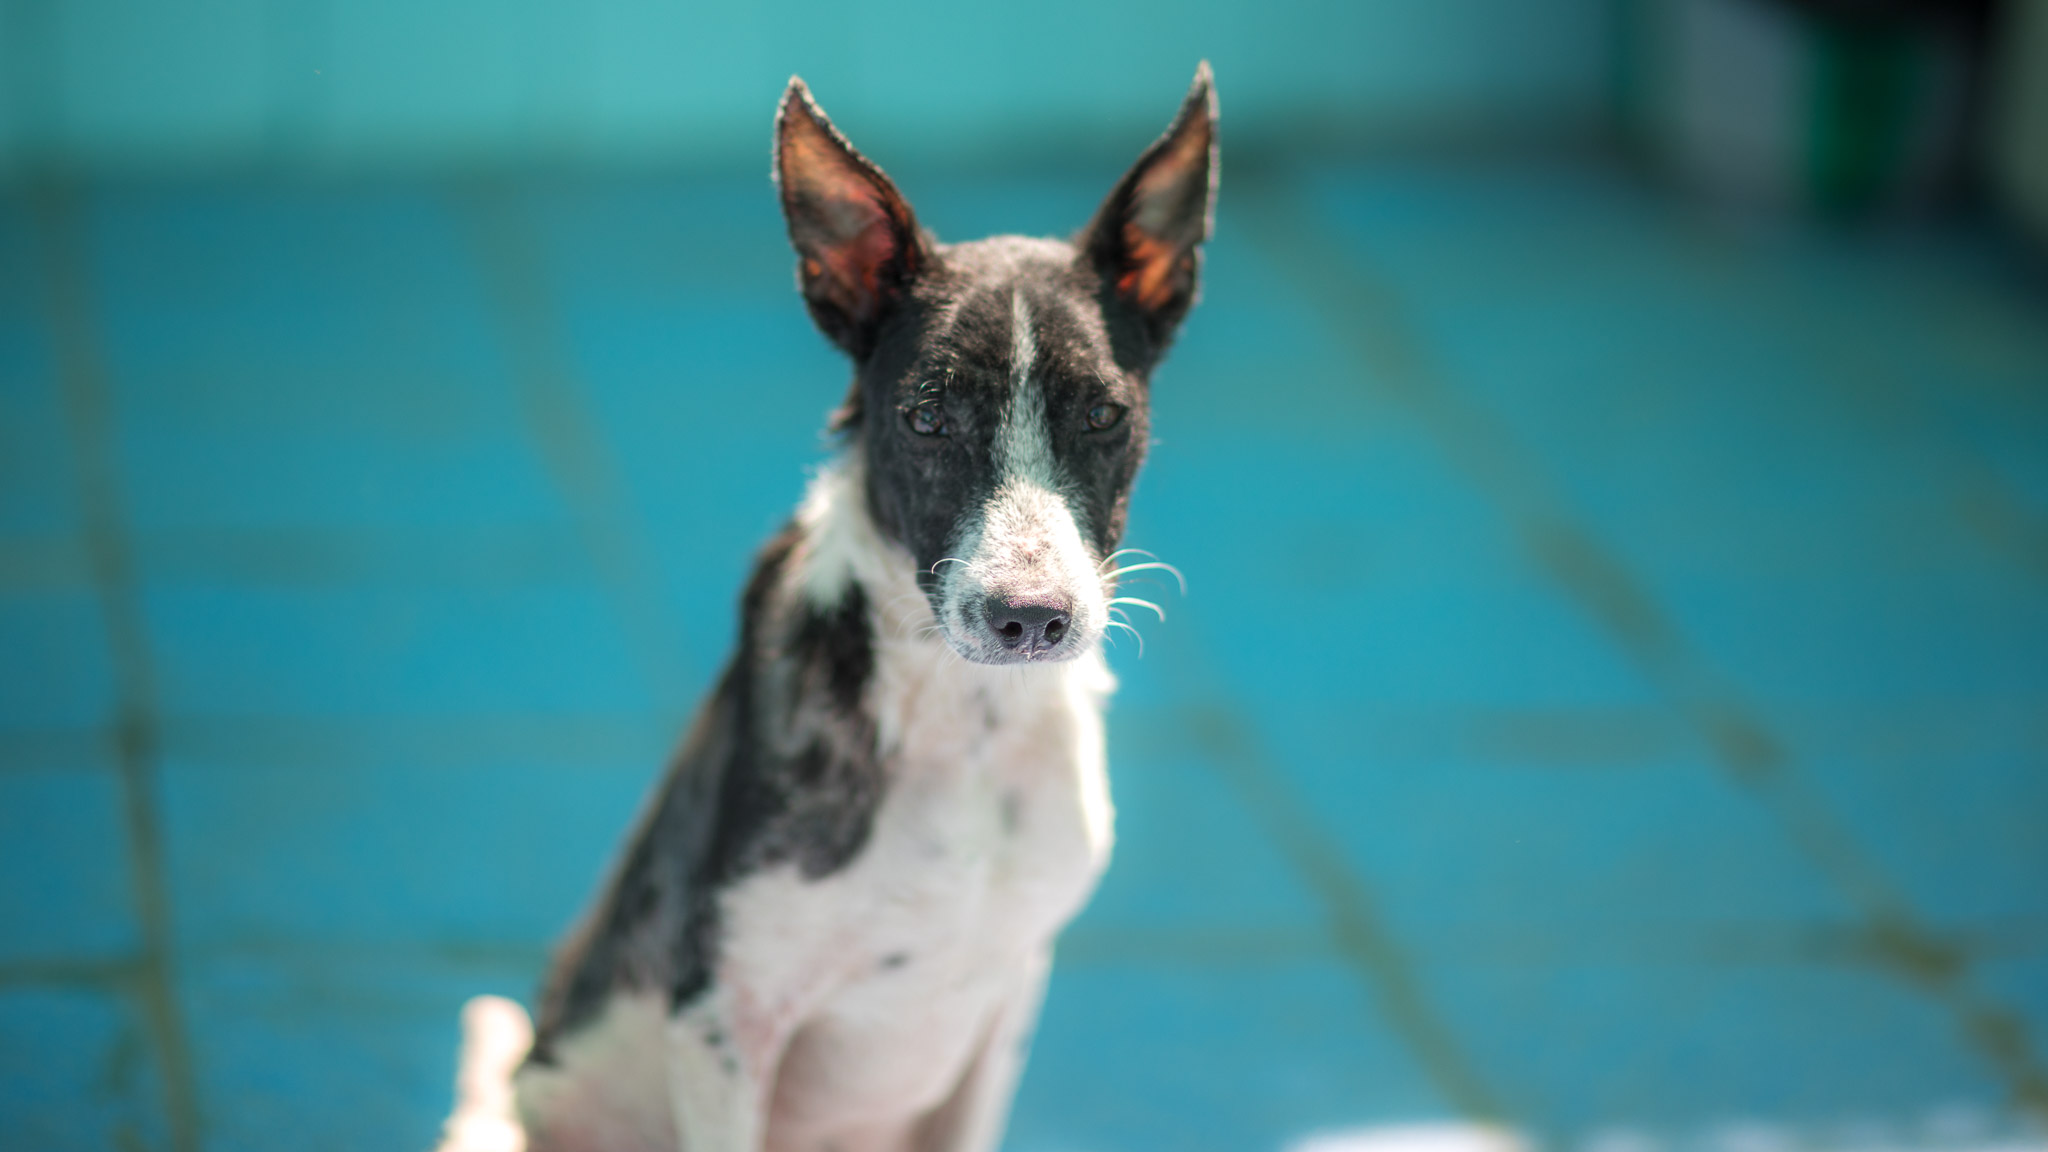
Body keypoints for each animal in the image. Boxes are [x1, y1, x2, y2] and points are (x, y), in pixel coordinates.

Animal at [439, 63, 1217, 1152]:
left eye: (1105, 415)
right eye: (925, 418)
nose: (1030, 620)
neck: (959, 723)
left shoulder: (1006, 1001)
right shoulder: (724, 1019)